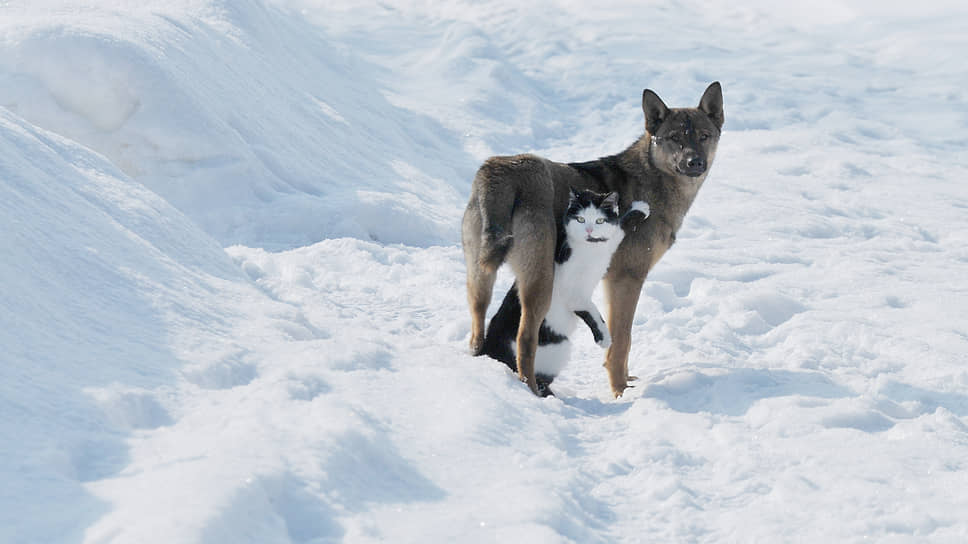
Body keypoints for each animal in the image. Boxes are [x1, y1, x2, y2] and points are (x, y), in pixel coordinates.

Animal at [478, 187, 652, 396]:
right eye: (581, 219)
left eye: (599, 221)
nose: (589, 231)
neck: (591, 249)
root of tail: (489, 349)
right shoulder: (574, 293)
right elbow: (592, 311)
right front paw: (604, 337)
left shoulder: (608, 243)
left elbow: (618, 229)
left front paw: (640, 209)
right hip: (559, 347)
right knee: (539, 380)